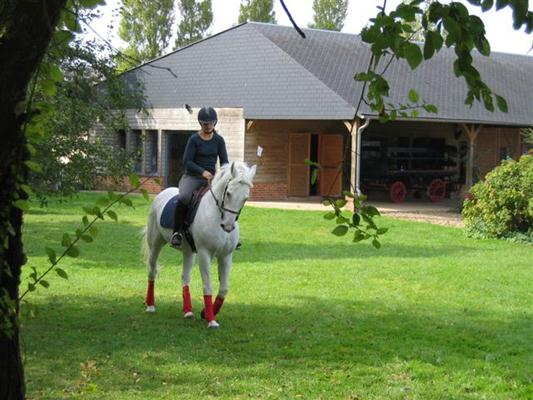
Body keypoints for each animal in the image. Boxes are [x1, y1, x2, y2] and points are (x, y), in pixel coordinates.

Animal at [140, 162, 256, 328]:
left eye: (245, 198)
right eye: (228, 193)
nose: (227, 226)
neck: (216, 214)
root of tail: (162, 194)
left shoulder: (226, 256)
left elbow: (224, 288)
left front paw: (205, 313)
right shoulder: (204, 254)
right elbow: (208, 286)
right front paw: (211, 320)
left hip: (188, 251)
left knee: (185, 277)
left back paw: (188, 311)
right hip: (155, 243)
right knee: (152, 270)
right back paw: (150, 306)